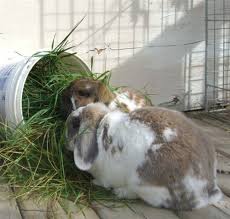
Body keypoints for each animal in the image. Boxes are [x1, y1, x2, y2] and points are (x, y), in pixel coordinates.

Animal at [65, 102, 222, 210]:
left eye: (75, 123)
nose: (64, 140)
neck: (99, 129)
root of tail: (207, 189)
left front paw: (95, 182)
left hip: (142, 181)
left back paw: (120, 191)